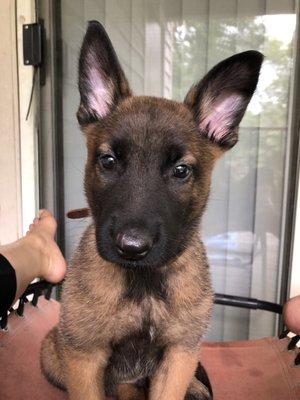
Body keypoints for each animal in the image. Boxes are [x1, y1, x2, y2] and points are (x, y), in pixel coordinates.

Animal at [40, 21, 262, 400]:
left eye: (181, 171)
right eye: (108, 161)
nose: (131, 247)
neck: (143, 284)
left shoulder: (180, 355)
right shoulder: (84, 357)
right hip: (54, 352)